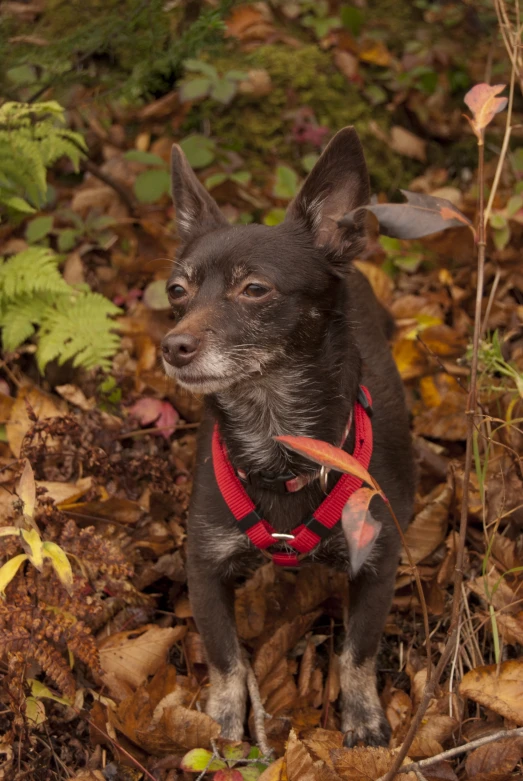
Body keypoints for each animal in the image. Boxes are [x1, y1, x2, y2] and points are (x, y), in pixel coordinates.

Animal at [162, 129, 416, 748]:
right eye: (177, 290)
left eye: (255, 288)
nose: (172, 345)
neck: (278, 440)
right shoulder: (203, 565)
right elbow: (225, 656)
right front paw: (224, 722)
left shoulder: (378, 561)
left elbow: (357, 652)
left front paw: (363, 718)